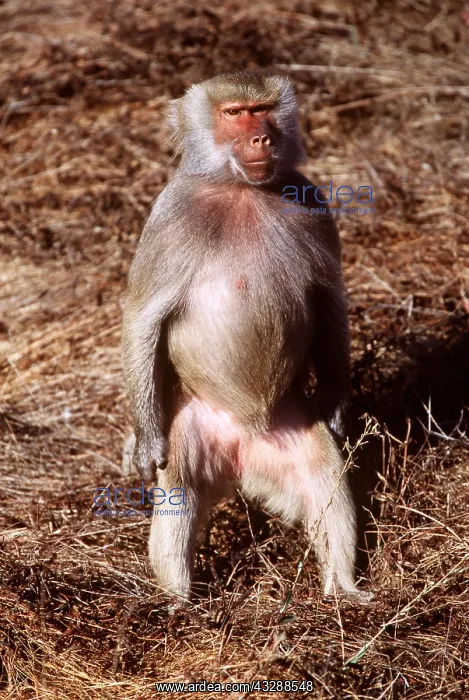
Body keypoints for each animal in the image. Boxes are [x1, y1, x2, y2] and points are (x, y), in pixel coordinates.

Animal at [121, 71, 372, 603]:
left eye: (263, 110)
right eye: (234, 113)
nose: (260, 139)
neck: (242, 190)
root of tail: (242, 446)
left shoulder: (313, 203)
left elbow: (329, 300)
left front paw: (337, 407)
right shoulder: (171, 217)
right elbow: (142, 318)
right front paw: (145, 445)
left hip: (290, 429)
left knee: (325, 477)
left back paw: (342, 589)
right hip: (194, 429)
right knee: (181, 491)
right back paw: (178, 601)